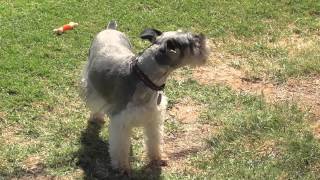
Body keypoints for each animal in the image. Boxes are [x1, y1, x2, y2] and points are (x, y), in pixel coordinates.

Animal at [81, 20, 209, 174]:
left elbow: (154, 141)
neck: (143, 77)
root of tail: (110, 29)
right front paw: (122, 167)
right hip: (91, 84)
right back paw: (96, 117)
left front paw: (157, 158)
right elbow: (120, 148)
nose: (202, 36)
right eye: (191, 41)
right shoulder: (120, 122)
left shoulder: (154, 118)